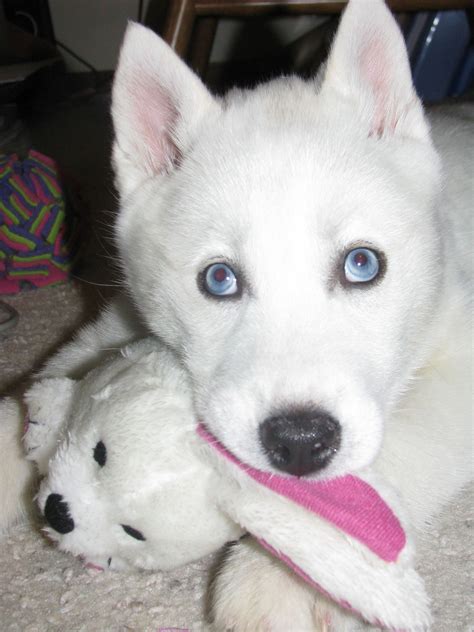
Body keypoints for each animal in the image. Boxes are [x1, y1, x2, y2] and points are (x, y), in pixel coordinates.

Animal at [0, 0, 470, 628]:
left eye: (362, 264)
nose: (300, 442)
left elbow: (395, 449)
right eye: (218, 279)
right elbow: (43, 384)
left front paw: (289, 573)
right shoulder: (118, 322)